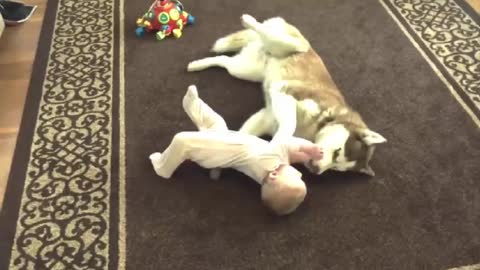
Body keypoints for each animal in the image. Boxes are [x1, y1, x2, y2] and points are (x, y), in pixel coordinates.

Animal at [188, 14, 386, 176]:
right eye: (337, 152)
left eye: (336, 168)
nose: (315, 171)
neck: (324, 121)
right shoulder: (287, 93)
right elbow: (288, 125)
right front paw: (278, 143)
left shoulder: (265, 117)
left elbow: (243, 136)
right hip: (289, 45)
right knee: (266, 31)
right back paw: (249, 20)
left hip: (246, 69)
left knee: (223, 61)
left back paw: (197, 64)